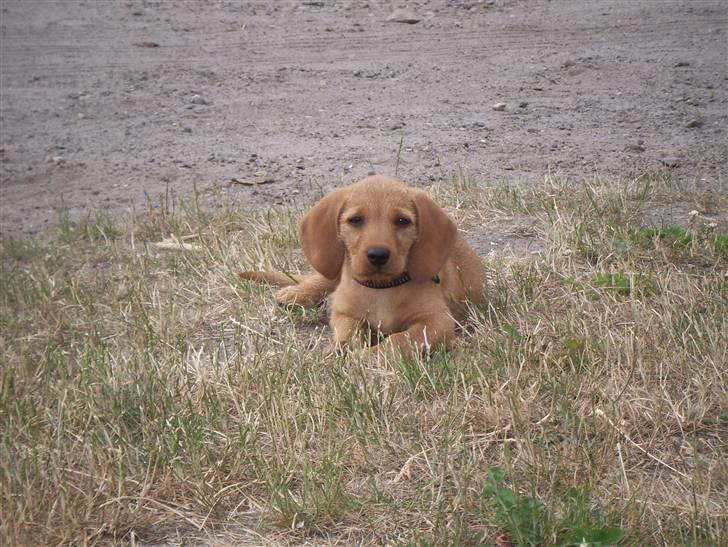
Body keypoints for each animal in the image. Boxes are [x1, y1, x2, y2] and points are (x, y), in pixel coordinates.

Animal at [242, 176, 486, 356]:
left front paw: (369, 357)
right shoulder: (343, 314)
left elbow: (399, 340)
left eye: (402, 221)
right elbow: (349, 332)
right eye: (355, 220)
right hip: (334, 268)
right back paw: (296, 293)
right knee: (321, 280)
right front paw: (341, 349)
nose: (378, 255)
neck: (381, 289)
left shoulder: (437, 321)